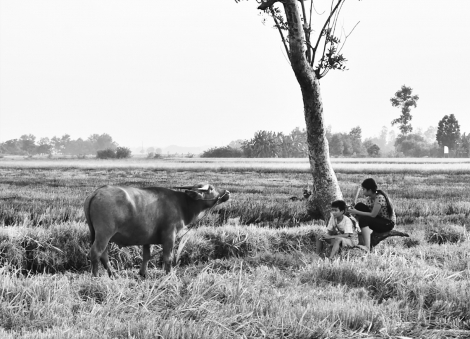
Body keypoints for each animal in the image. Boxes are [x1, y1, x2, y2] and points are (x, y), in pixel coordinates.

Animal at [85, 185, 232, 278]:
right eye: (211, 188)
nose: (227, 192)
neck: (182, 204)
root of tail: (96, 192)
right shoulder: (170, 235)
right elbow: (168, 258)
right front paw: (169, 274)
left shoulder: (146, 239)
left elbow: (146, 256)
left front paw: (143, 274)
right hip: (104, 234)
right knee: (96, 253)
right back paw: (96, 275)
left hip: (102, 236)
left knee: (103, 255)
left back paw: (113, 273)